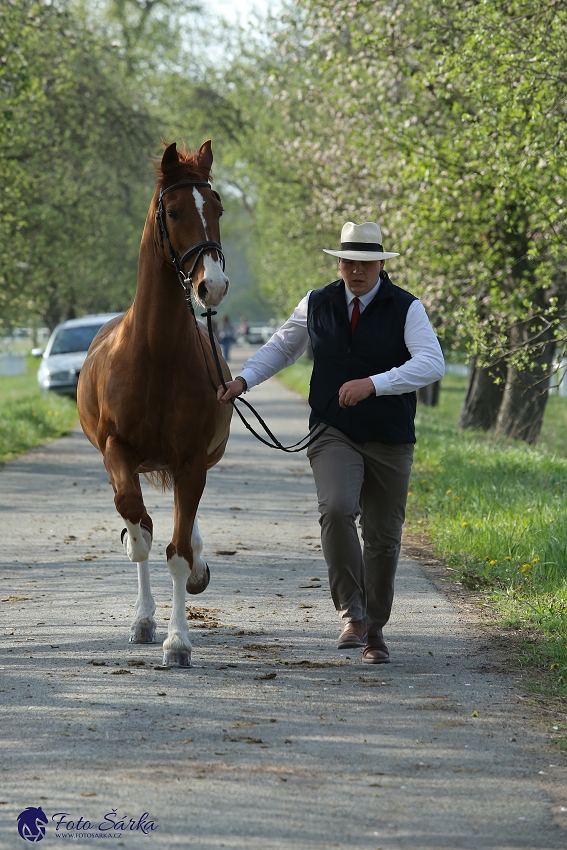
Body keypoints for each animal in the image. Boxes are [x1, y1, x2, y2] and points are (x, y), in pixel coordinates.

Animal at [76, 141, 232, 668]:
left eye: (218, 207)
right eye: (175, 210)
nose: (212, 285)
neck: (155, 353)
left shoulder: (190, 460)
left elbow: (179, 551)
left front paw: (178, 642)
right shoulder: (117, 451)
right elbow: (140, 530)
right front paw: (148, 621)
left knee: (185, 528)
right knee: (142, 523)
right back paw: (143, 618)